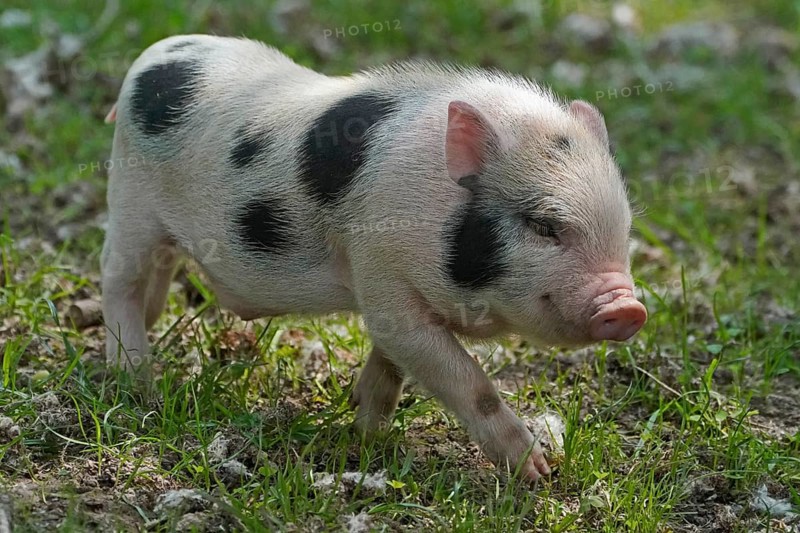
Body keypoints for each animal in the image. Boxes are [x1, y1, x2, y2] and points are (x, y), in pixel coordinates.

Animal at [101, 34, 647, 482]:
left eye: (624, 227)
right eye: (544, 226)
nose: (628, 308)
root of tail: (153, 54)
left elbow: (391, 364)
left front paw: (365, 430)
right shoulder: (381, 272)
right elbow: (463, 377)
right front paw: (537, 471)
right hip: (130, 200)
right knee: (117, 279)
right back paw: (138, 383)